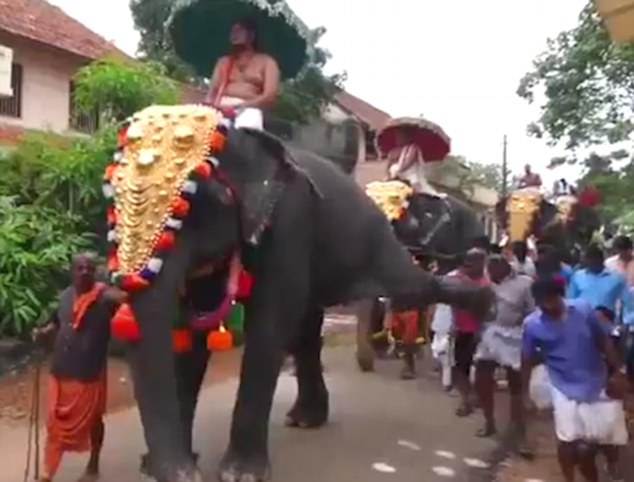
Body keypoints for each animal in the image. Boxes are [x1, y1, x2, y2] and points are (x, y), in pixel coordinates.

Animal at [105, 105, 488, 482]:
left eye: (205, 200)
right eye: (111, 196)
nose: (185, 472)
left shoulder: (291, 220)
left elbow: (269, 325)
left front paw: (240, 474)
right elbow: (196, 332)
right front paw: (166, 467)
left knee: (411, 287)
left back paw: (478, 299)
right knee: (309, 327)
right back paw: (306, 419)